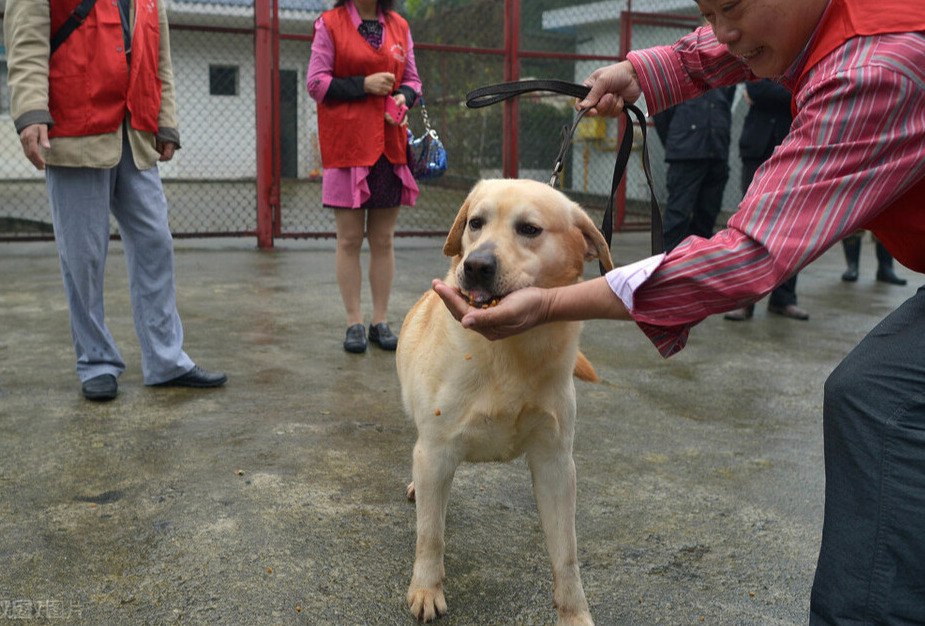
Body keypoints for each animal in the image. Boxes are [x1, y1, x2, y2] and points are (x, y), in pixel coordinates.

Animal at [394, 178, 608, 620]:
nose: (476, 266)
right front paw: (426, 588)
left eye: (529, 229)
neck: (510, 355)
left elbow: (566, 554)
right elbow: (430, 535)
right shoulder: (435, 450)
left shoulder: (555, 463)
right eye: (476, 223)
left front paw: (574, 614)